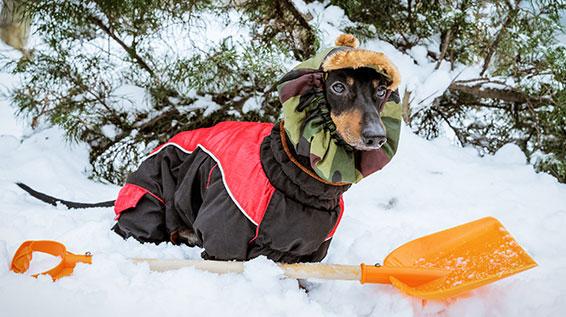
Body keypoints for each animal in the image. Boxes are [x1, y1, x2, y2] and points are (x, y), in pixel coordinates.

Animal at [16, 33, 404, 262]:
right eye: (338, 87)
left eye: (381, 91)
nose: (376, 136)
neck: (295, 176)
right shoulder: (224, 247)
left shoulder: (308, 256)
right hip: (149, 204)